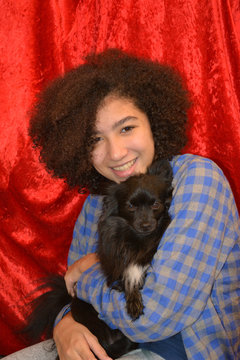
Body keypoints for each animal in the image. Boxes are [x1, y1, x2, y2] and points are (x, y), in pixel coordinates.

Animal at [23, 161, 172, 360]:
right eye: (130, 206)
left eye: (155, 204)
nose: (146, 224)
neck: (137, 239)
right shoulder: (115, 269)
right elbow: (126, 277)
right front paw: (133, 300)